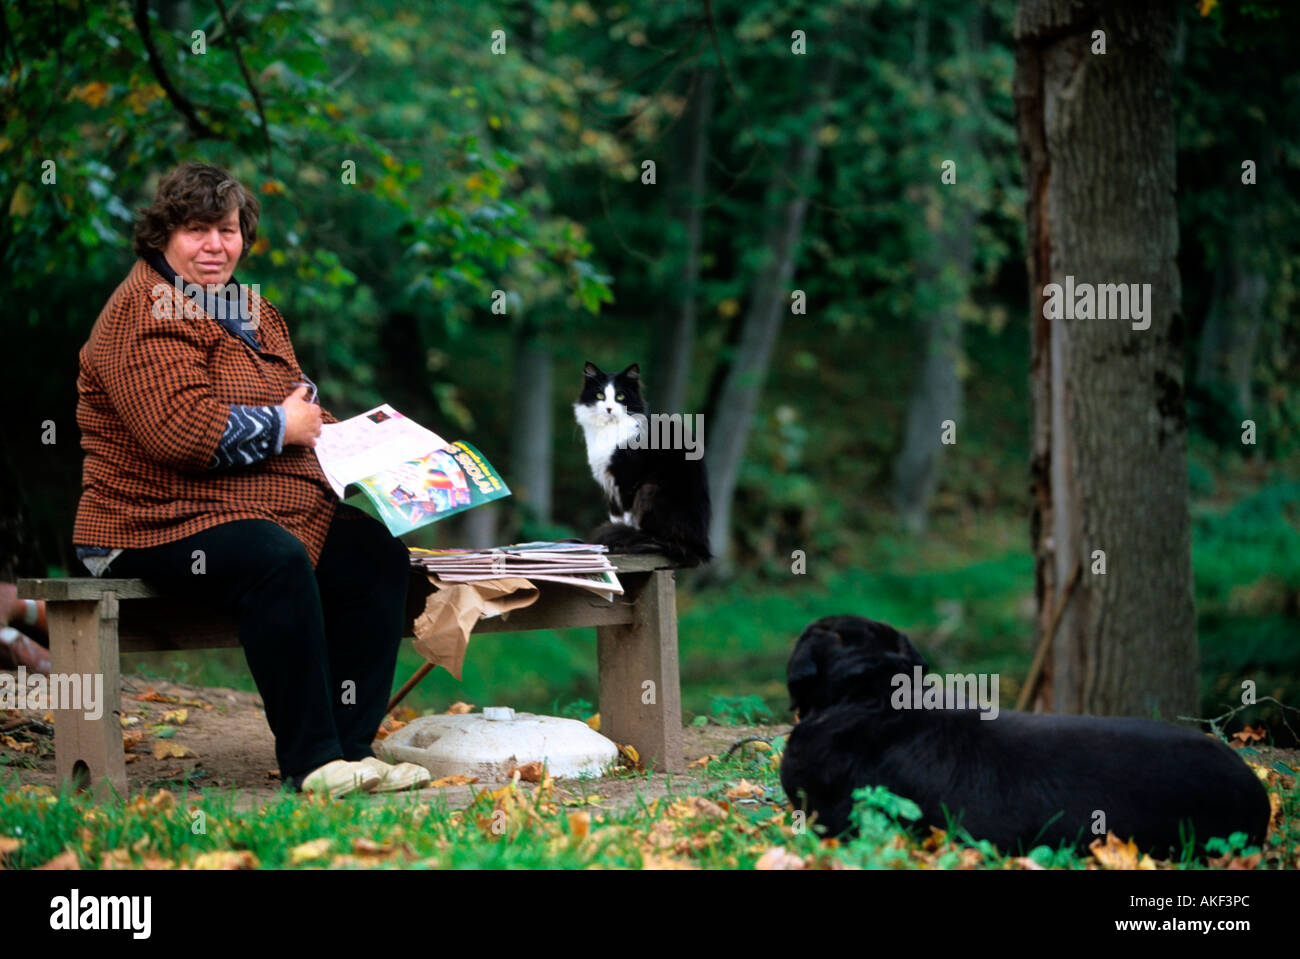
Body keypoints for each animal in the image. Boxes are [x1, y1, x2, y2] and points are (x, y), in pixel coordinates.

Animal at [572, 361, 712, 563]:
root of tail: (699, 548)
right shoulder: (610, 487)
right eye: (600, 396)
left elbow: (627, 516)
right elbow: (616, 517)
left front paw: (616, 542)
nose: (609, 409)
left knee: (662, 541)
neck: (608, 430)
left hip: (650, 488)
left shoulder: (627, 480)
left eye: (620, 396)